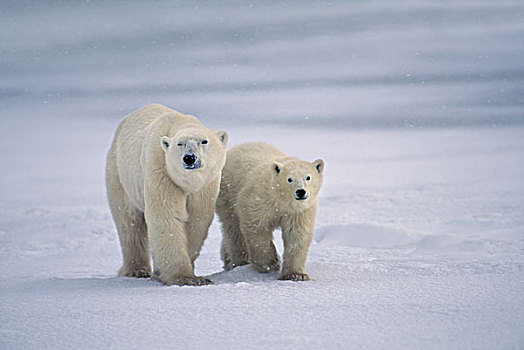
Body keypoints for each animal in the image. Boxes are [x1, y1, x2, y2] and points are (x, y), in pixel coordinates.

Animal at [106, 102, 227, 286]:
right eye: (180, 144)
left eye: (204, 141)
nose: (190, 158)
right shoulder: (161, 168)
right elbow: (167, 216)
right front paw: (186, 278)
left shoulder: (206, 184)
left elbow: (197, 219)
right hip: (120, 176)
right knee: (129, 223)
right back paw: (137, 270)